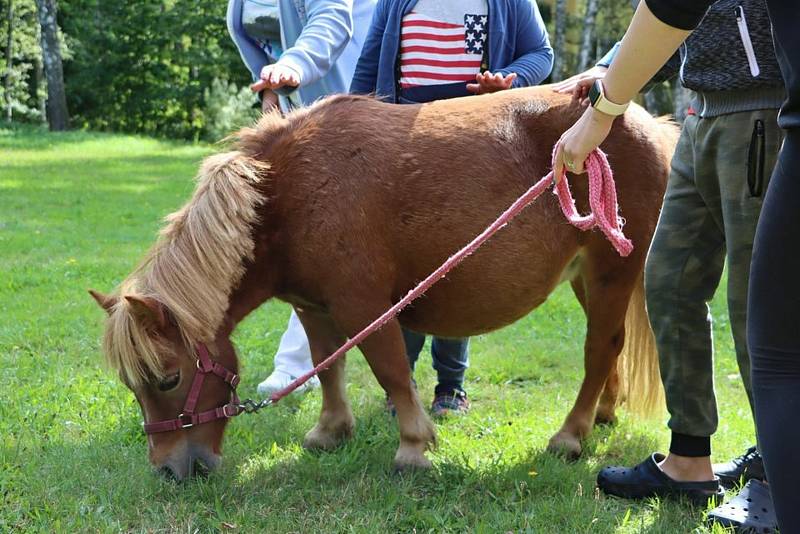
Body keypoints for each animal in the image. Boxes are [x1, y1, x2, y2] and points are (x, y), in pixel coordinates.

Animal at [89, 88, 676, 482]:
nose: (170, 470)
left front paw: (414, 446)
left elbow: (392, 371)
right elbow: (328, 367)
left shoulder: (363, 305)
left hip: (610, 272)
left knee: (600, 348)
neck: (287, 195)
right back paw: (603, 414)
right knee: (613, 347)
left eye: (168, 379)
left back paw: (571, 436)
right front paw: (330, 432)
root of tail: (653, 125)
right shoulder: (313, 306)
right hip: (587, 279)